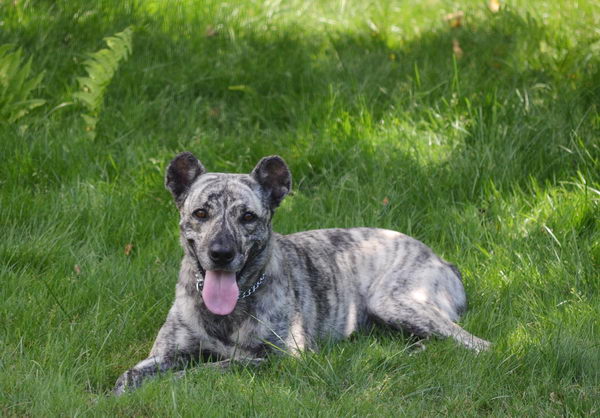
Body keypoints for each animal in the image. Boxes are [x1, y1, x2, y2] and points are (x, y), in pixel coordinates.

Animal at [113, 152, 492, 394]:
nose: (221, 253)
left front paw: (172, 383)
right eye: (201, 213)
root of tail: (443, 261)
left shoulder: (274, 359)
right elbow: (130, 376)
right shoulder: (165, 354)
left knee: (477, 344)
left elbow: (209, 369)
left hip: (396, 301)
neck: (228, 310)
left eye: (248, 217)